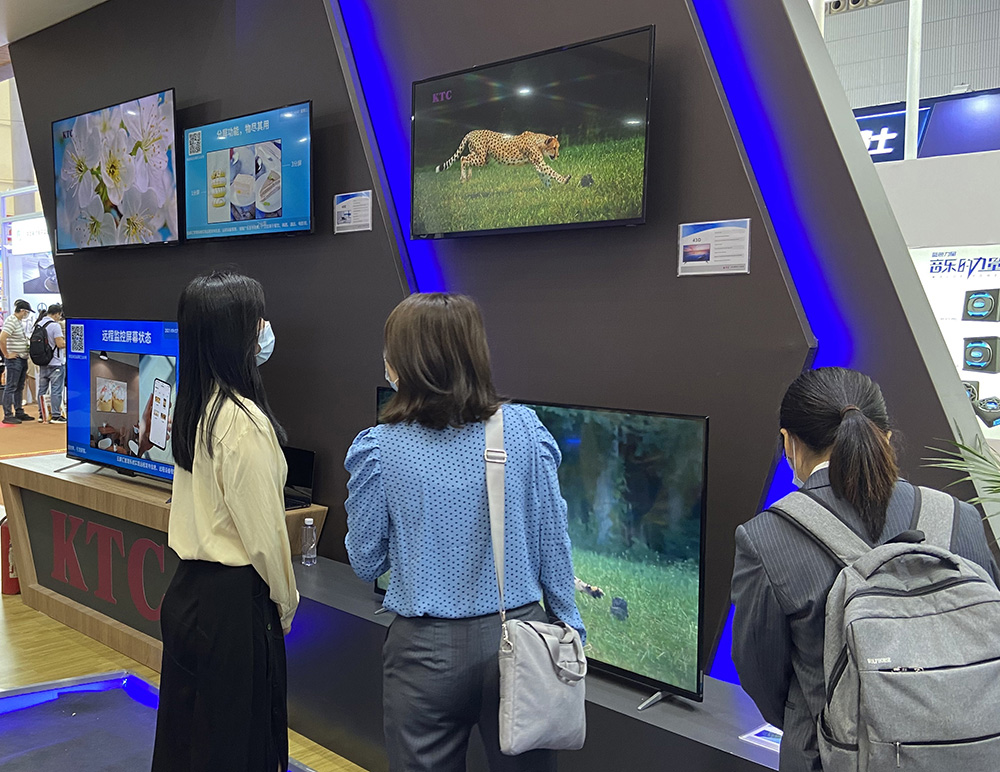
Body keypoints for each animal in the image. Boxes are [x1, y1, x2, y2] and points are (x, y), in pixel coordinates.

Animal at [434, 130, 572, 187]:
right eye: (554, 148)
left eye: (558, 147)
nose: (558, 155)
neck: (538, 142)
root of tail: (472, 132)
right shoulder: (539, 163)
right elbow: (551, 172)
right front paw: (564, 180)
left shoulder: (538, 165)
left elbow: (545, 175)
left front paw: (549, 190)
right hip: (481, 158)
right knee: (463, 158)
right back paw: (463, 178)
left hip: (482, 157)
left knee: (466, 157)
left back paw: (468, 176)